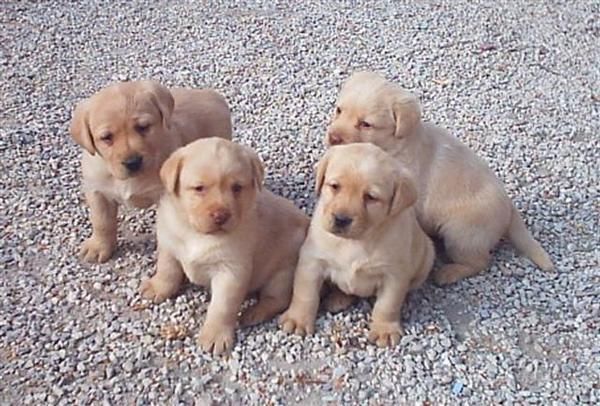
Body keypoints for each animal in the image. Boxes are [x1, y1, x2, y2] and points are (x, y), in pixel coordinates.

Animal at [69, 81, 231, 264]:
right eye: (106, 137)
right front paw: (98, 247)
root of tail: (212, 94)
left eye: (143, 127)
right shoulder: (97, 191)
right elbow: (101, 221)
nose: (132, 162)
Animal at [141, 138, 310, 354]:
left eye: (237, 187)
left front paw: (215, 335)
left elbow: (222, 306)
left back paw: (254, 312)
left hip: (283, 272)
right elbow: (166, 270)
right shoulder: (169, 243)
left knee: (277, 298)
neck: (197, 233)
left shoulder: (231, 271)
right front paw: (157, 287)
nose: (221, 215)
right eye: (199, 188)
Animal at [278, 144, 434, 348]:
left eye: (371, 197)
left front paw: (384, 329)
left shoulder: (394, 274)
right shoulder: (312, 260)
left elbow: (387, 305)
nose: (341, 219)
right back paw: (338, 298)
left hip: (427, 257)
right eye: (335, 186)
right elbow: (305, 293)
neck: (356, 240)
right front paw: (297, 319)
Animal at [326, 70, 556, 286]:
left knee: (480, 262)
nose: (333, 137)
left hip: (461, 234)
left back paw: (448, 273)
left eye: (366, 124)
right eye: (339, 110)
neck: (396, 145)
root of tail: (509, 207)